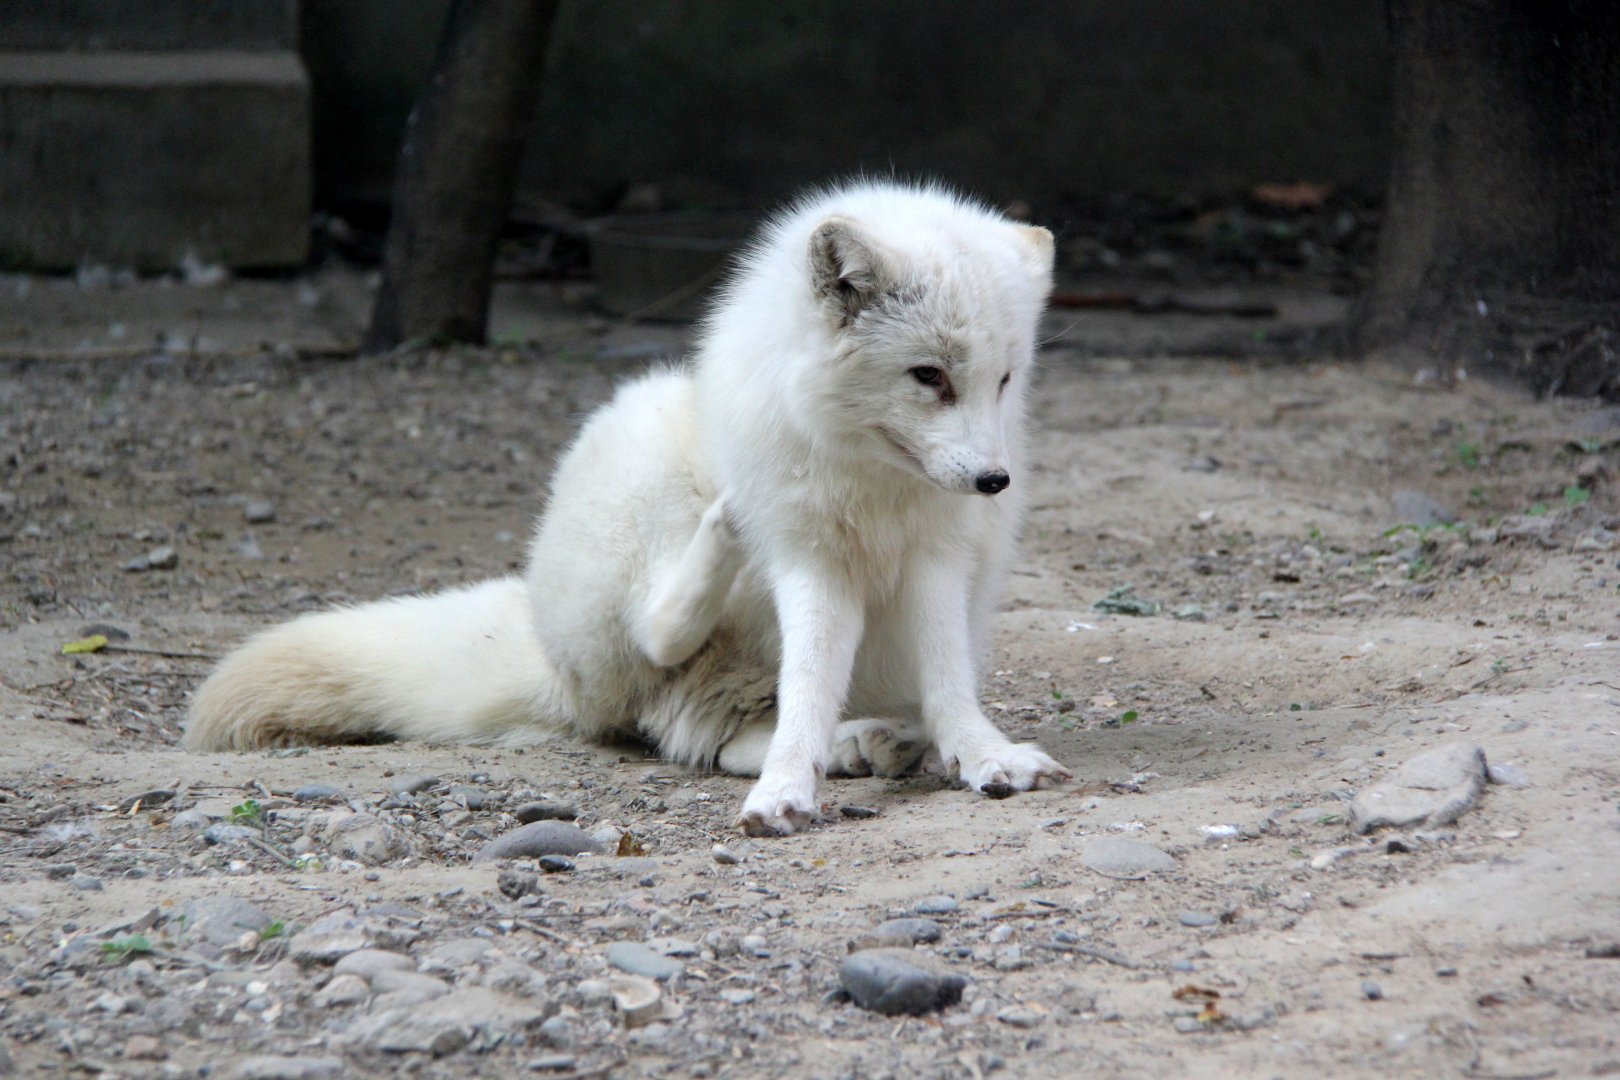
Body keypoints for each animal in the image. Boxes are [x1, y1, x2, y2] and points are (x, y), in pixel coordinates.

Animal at [184, 180, 1072, 835]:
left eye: (1002, 379)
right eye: (929, 376)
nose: (994, 481)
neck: (876, 483)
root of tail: (555, 666)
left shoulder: (938, 561)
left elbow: (946, 680)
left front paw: (982, 756)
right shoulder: (809, 559)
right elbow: (809, 684)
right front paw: (790, 786)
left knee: (721, 734)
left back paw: (866, 743)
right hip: (643, 450)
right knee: (671, 669)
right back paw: (730, 561)